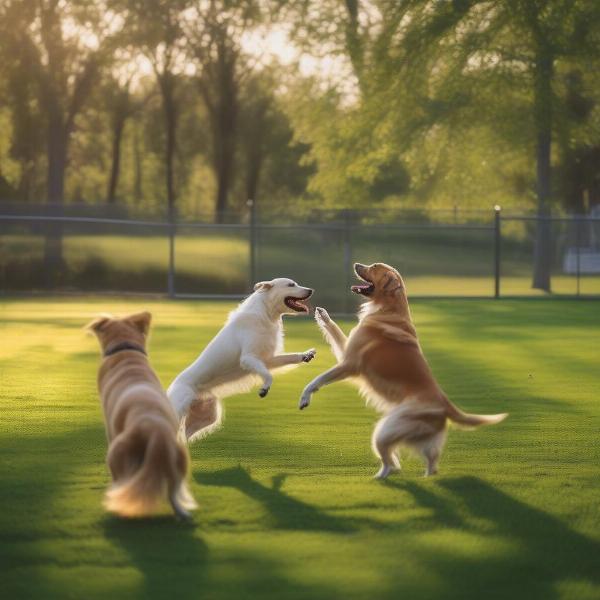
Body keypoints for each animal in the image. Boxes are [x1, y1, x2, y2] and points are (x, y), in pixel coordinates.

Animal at [87, 312, 197, 516]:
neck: (125, 349)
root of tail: (155, 429)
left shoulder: (110, 428)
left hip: (117, 455)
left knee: (122, 483)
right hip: (178, 461)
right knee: (173, 492)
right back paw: (182, 514)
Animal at [168, 278, 314, 440]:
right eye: (290, 285)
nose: (311, 290)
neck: (265, 314)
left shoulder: (267, 360)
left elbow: (289, 358)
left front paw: (306, 355)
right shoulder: (248, 358)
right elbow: (268, 375)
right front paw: (264, 388)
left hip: (207, 418)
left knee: (185, 439)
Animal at [298, 262, 506, 478]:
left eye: (374, 267)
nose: (356, 264)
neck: (387, 309)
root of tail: (446, 404)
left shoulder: (349, 363)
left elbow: (317, 380)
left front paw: (305, 398)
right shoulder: (347, 354)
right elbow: (334, 330)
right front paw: (322, 315)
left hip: (386, 430)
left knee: (390, 462)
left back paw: (380, 477)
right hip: (416, 438)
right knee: (430, 463)